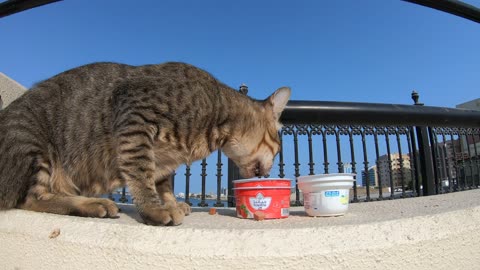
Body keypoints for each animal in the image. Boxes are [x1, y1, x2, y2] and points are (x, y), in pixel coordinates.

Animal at [0, 61, 290, 226]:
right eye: (278, 147)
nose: (268, 172)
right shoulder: (135, 117)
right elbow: (141, 173)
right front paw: (153, 209)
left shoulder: (163, 158)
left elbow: (162, 183)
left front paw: (170, 203)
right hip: (32, 141)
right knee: (31, 198)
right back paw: (91, 204)